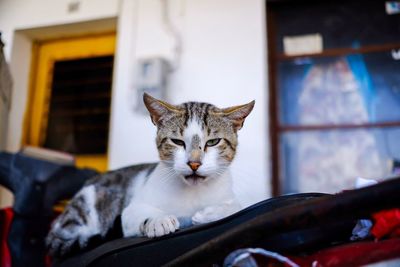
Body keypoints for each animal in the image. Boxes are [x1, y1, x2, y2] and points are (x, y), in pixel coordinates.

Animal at [46, 93, 253, 258]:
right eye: (177, 142)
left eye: (213, 142)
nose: (194, 163)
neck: (192, 192)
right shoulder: (129, 212)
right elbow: (139, 213)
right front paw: (158, 220)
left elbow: (236, 206)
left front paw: (209, 213)